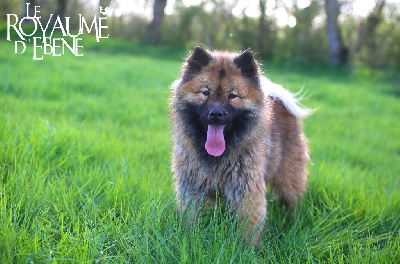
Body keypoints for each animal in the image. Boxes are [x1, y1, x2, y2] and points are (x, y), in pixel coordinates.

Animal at [169, 46, 312, 245]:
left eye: (233, 96)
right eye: (205, 92)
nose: (216, 114)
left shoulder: (246, 188)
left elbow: (249, 225)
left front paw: (247, 248)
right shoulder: (191, 186)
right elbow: (189, 217)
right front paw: (188, 238)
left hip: (288, 178)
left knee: (293, 202)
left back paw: (292, 225)